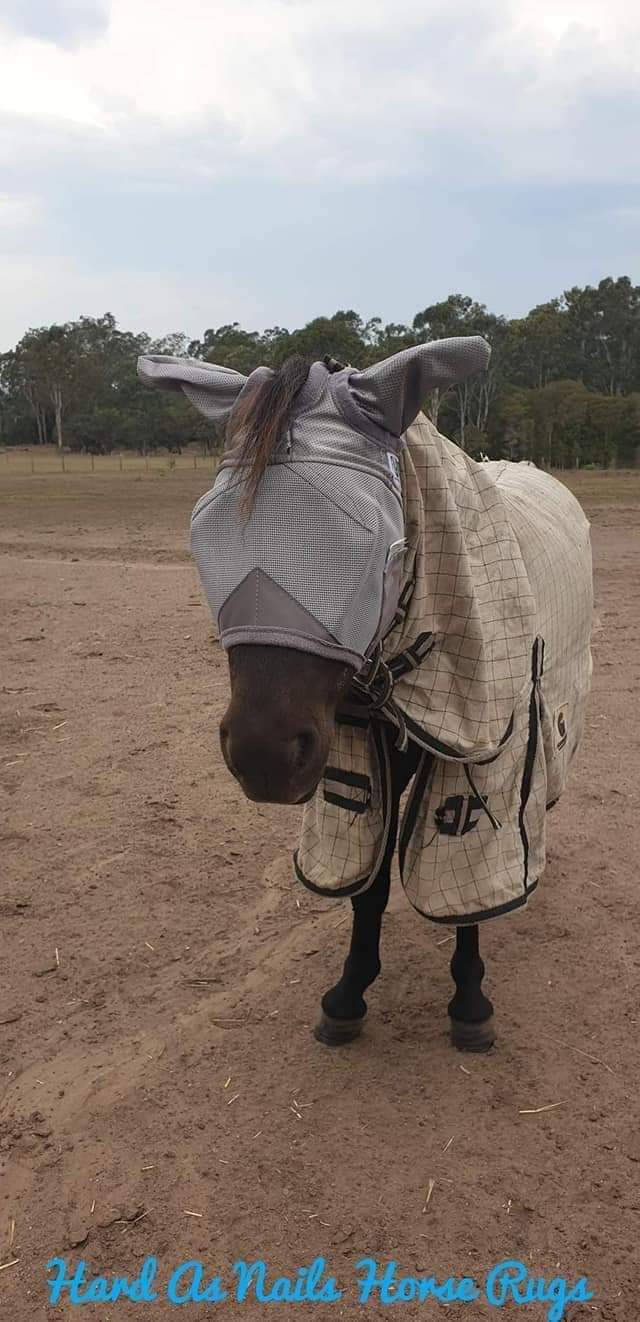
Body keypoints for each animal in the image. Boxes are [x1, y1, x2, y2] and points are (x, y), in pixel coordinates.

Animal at [138, 340, 593, 1054]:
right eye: (206, 533)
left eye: (369, 542)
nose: (264, 754)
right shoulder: (355, 747)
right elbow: (370, 884)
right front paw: (349, 993)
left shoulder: (486, 746)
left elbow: (464, 894)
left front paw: (470, 1002)